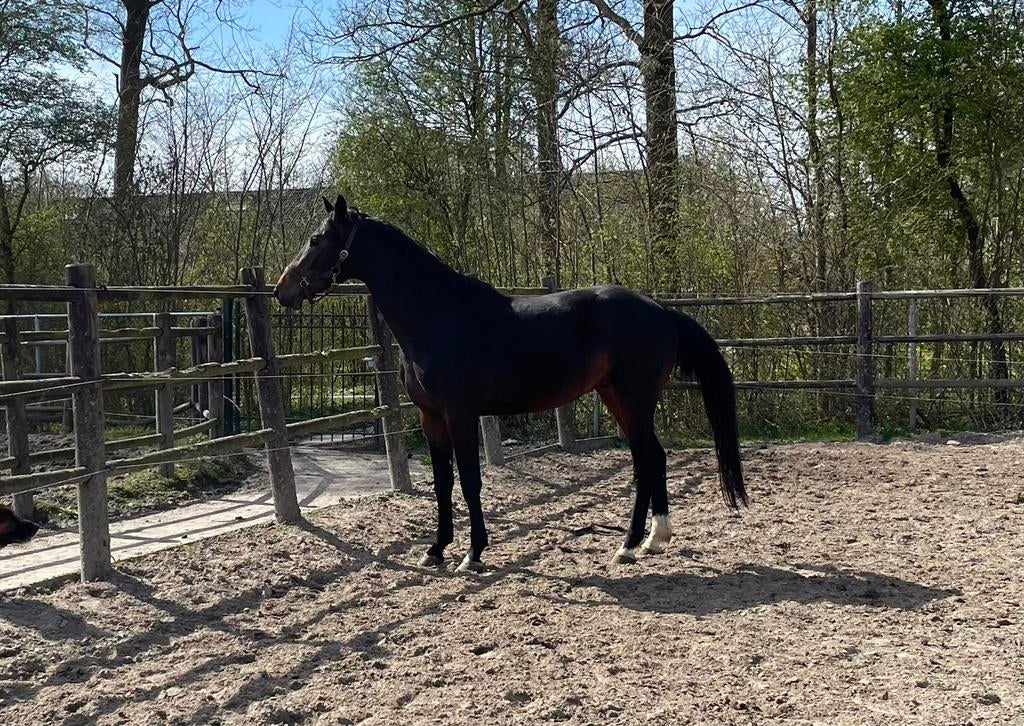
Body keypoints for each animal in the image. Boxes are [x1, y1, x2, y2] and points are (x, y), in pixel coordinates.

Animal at [274, 195, 747, 571]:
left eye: (317, 239)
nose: (282, 291)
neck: (438, 315)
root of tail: (661, 310)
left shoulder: (461, 415)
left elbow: (469, 481)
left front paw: (472, 553)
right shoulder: (431, 418)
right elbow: (442, 483)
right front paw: (436, 550)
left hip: (634, 399)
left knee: (647, 460)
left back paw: (630, 545)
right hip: (616, 398)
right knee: (653, 458)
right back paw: (650, 541)